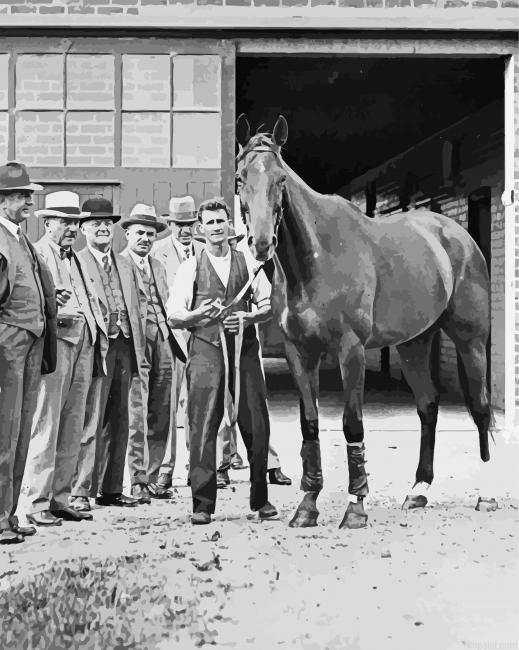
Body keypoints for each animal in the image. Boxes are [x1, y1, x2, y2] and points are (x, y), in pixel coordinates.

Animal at [235, 114, 495, 529]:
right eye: (240, 177)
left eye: (281, 179)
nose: (261, 244)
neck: (316, 258)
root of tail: (457, 237)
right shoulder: (299, 353)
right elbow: (310, 424)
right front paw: (306, 506)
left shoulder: (350, 349)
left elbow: (351, 423)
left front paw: (355, 507)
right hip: (414, 344)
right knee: (428, 405)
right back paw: (418, 490)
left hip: (470, 340)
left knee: (482, 408)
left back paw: (485, 495)